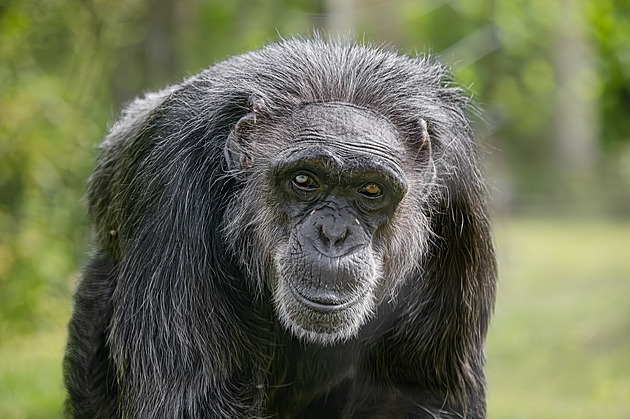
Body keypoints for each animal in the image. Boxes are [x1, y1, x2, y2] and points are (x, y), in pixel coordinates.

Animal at [64, 37, 498, 419]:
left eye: (371, 190)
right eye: (305, 180)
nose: (333, 234)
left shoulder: (459, 203)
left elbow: (418, 393)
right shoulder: (173, 183)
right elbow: (192, 402)